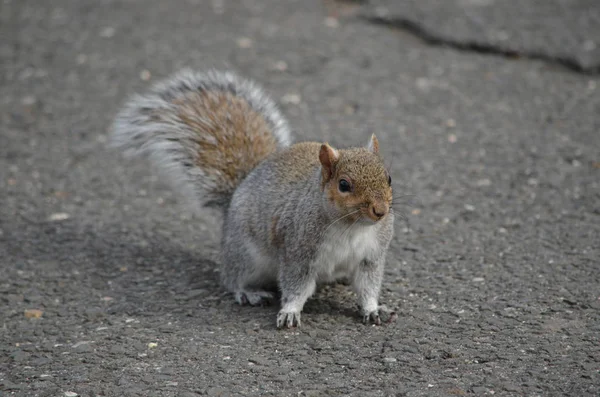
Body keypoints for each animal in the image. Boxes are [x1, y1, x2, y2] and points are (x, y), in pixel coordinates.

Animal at [111, 69, 398, 328]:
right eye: (344, 185)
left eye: (389, 178)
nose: (380, 211)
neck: (351, 227)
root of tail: (237, 194)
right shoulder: (298, 252)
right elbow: (296, 286)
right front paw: (290, 312)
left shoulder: (371, 255)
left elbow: (368, 286)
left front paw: (373, 309)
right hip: (246, 256)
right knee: (232, 279)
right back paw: (248, 292)